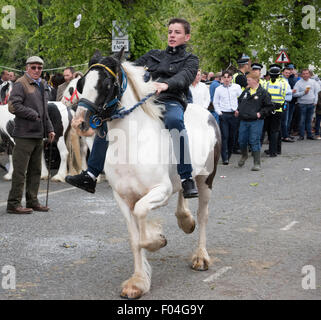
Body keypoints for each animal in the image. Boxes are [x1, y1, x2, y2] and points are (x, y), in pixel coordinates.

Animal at [72, 48, 220, 298]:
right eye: (82, 83)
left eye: (107, 83)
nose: (79, 123)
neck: (132, 142)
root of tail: (208, 113)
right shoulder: (122, 198)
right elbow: (134, 239)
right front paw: (138, 282)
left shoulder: (160, 191)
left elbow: (142, 218)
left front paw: (156, 240)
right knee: (184, 187)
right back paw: (185, 220)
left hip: (206, 179)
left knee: (203, 214)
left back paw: (201, 257)